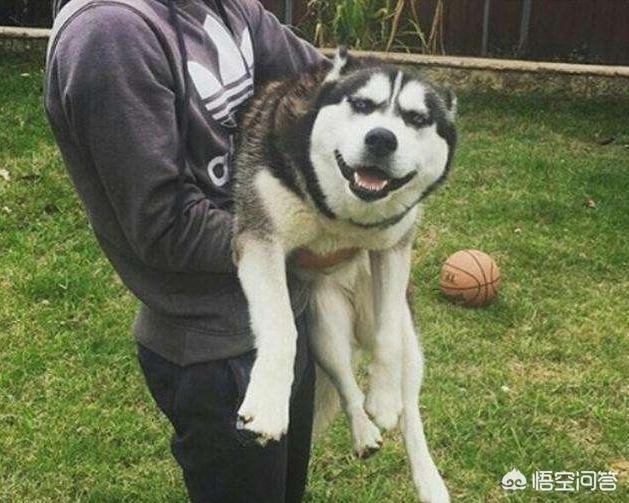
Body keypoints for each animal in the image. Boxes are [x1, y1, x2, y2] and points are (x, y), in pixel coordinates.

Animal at [231, 47, 457, 502]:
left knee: (411, 405)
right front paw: (268, 404)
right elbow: (280, 328)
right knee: (345, 380)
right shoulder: (260, 238)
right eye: (362, 105)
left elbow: (388, 339)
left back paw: (426, 475)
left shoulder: (394, 247)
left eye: (417, 118)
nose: (381, 139)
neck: (344, 218)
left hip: (408, 335)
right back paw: (363, 431)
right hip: (324, 322)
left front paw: (384, 397)